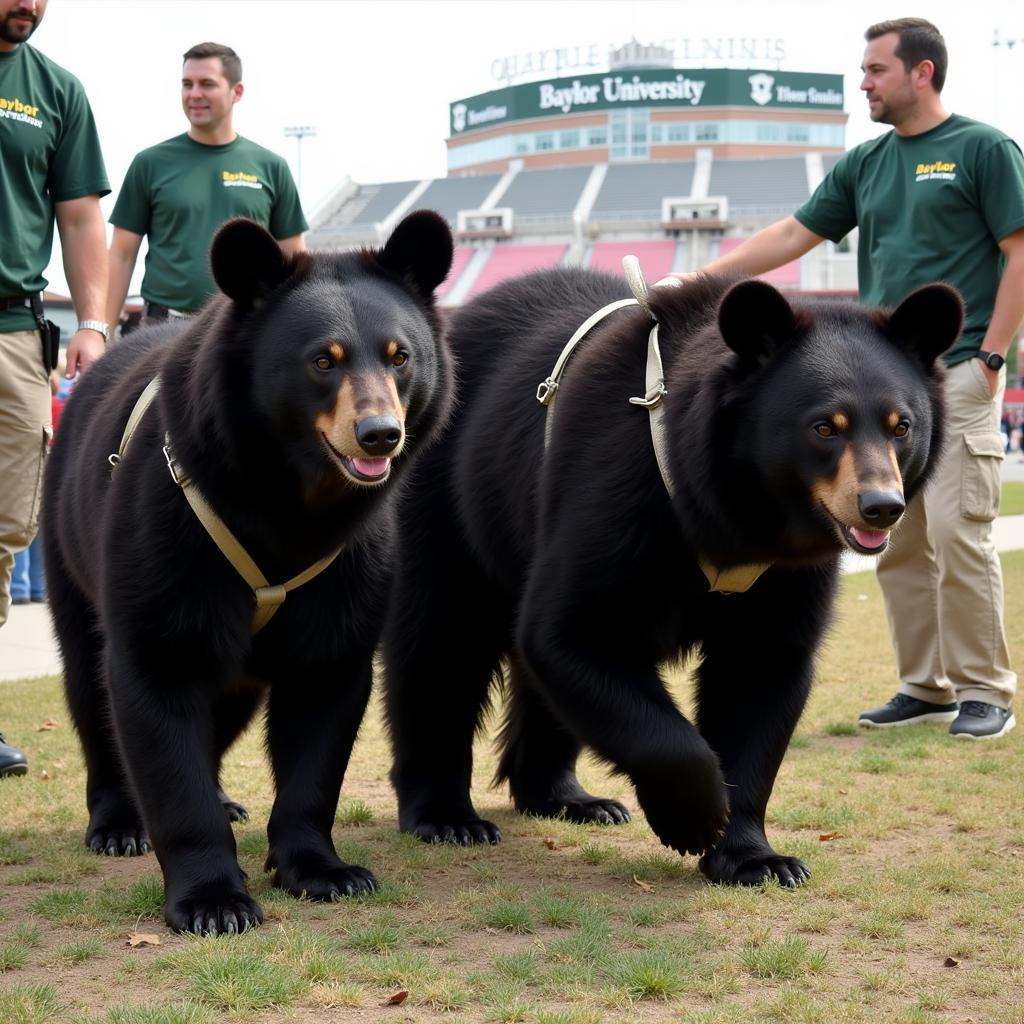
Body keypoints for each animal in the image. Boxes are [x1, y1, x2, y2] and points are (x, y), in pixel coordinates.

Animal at [44, 211, 452, 933]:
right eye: (323, 361)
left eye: (401, 356)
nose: (380, 434)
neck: (291, 495)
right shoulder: (172, 531)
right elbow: (156, 686)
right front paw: (212, 900)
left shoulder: (348, 566)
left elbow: (322, 706)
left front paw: (322, 870)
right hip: (71, 557)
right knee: (90, 692)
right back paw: (118, 823)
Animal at [382, 270, 958, 888]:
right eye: (825, 427)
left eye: (902, 427)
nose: (881, 508)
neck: (749, 514)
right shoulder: (621, 490)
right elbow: (571, 630)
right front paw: (694, 816)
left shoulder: (786, 575)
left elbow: (762, 675)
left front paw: (755, 858)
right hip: (442, 501)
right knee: (438, 645)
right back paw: (447, 817)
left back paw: (569, 798)